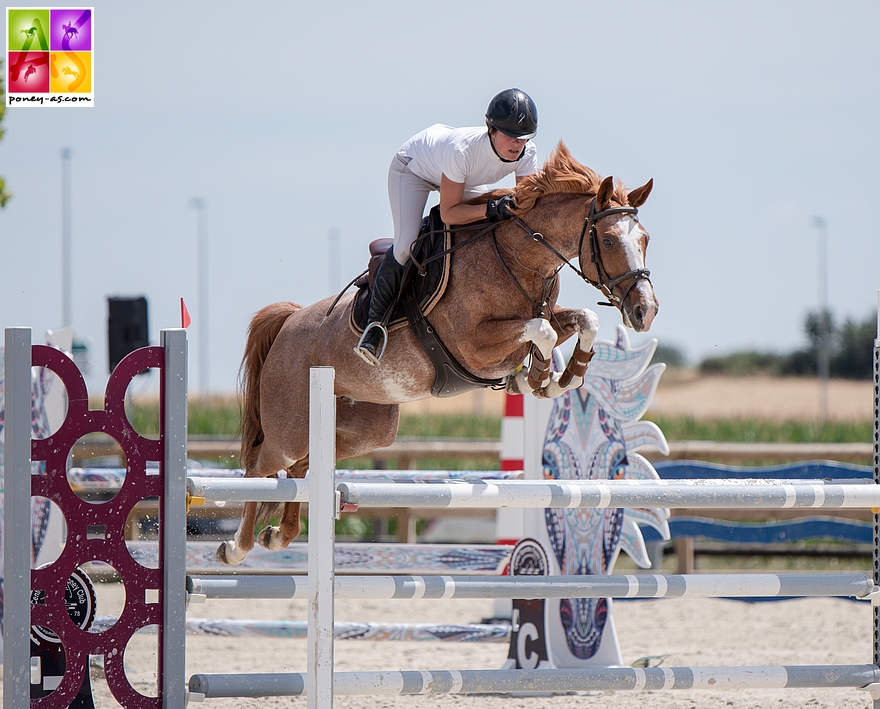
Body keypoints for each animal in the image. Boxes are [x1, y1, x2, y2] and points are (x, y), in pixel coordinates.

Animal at [217, 142, 656, 564]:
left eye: (645, 240)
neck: (518, 258)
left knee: (303, 466)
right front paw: (537, 376)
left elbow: (584, 321)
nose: (645, 311)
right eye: (608, 240)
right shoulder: (473, 345)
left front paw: (561, 377)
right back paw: (237, 547)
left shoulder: (544, 317)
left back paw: (279, 534)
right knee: (260, 466)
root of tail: (290, 321)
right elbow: (542, 331)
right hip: (289, 429)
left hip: (367, 429)